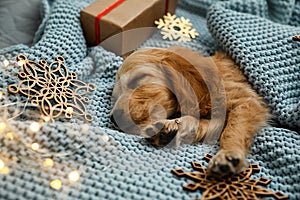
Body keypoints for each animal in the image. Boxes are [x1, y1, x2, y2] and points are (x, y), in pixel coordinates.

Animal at [110, 46, 270, 177]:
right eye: (116, 96)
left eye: (138, 78)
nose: (113, 119)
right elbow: (204, 124)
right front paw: (171, 127)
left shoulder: (246, 102)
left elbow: (231, 130)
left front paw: (228, 154)